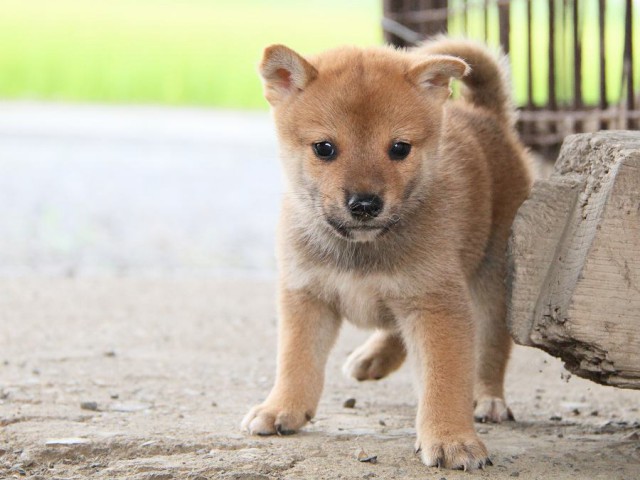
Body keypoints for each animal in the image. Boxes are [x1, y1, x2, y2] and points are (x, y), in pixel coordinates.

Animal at [242, 36, 532, 468]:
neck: (362, 250)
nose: (364, 204)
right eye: (324, 148)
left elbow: (445, 379)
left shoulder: (436, 303)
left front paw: (451, 438)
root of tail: (485, 114)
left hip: (491, 280)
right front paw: (281, 408)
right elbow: (296, 360)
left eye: (399, 148)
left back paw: (488, 399)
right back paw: (373, 358)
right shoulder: (307, 296)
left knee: (491, 349)